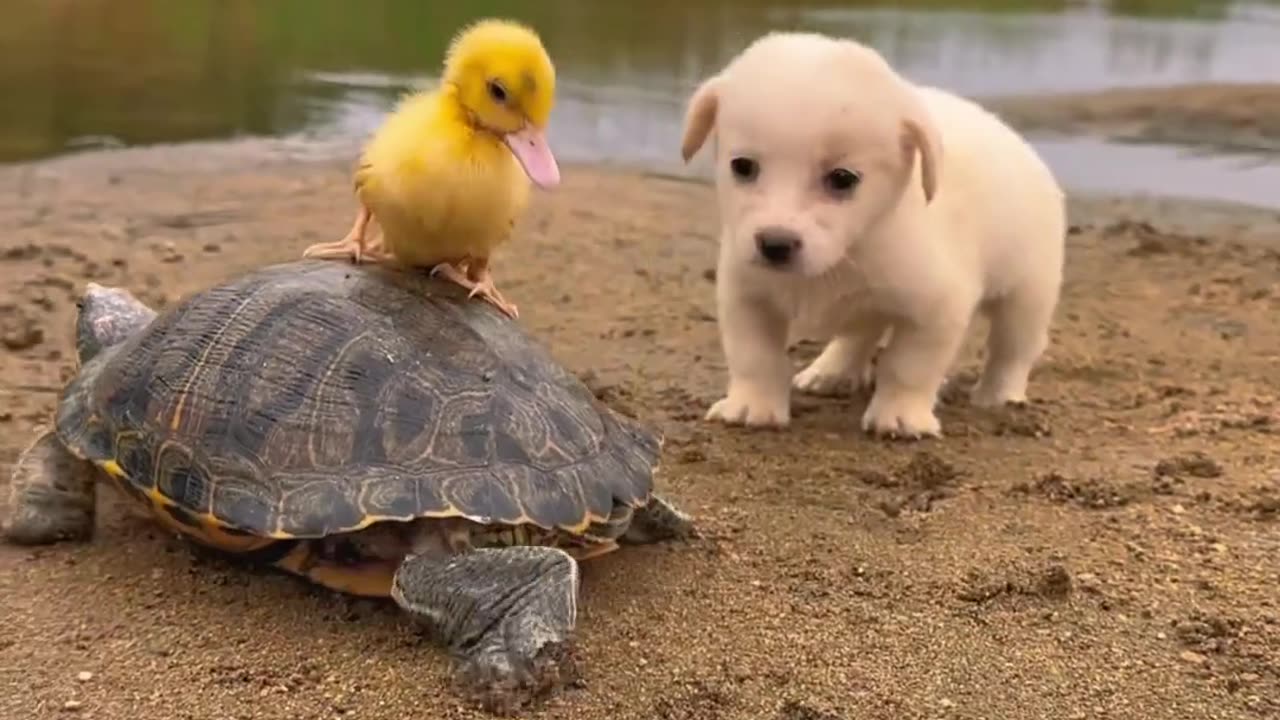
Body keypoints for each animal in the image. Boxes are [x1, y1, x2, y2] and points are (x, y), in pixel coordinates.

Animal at [686, 32, 1064, 438]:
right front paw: (751, 406)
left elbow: (908, 367)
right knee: (859, 334)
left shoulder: (938, 310)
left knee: (1012, 351)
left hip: (1027, 297)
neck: (852, 249)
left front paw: (900, 416)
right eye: (742, 166)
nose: (775, 244)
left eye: (842, 178)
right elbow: (754, 357)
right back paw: (832, 371)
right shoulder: (747, 295)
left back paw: (999, 395)